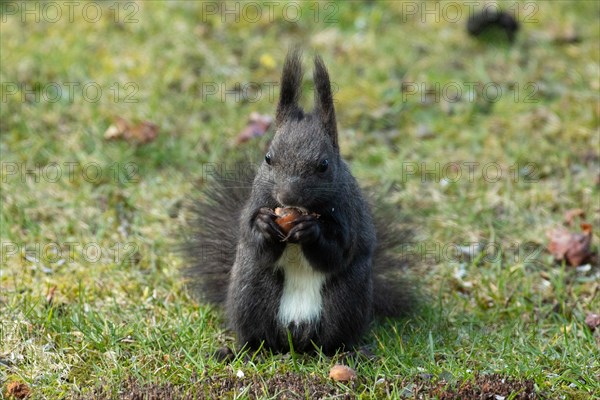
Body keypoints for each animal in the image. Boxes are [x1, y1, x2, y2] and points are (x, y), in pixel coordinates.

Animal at [183, 49, 414, 354]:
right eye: (268, 158)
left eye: (324, 165)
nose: (287, 196)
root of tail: (296, 335)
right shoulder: (256, 200)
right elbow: (251, 238)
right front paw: (263, 225)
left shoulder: (348, 212)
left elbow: (339, 251)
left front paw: (311, 231)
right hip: (251, 291)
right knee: (257, 335)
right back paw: (242, 351)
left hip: (346, 298)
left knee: (333, 337)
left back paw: (346, 352)